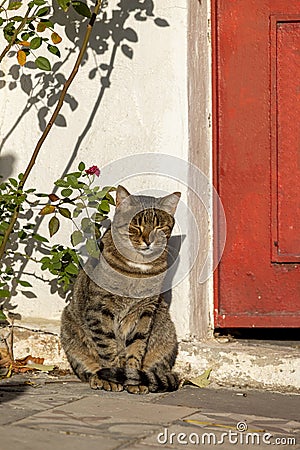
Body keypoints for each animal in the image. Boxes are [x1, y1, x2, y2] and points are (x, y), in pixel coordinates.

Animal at [61, 185, 180, 392]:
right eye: (136, 226)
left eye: (159, 227)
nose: (148, 240)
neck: (138, 270)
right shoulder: (99, 309)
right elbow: (107, 347)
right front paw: (114, 377)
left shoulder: (146, 311)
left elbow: (137, 346)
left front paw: (132, 377)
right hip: (68, 327)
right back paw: (99, 378)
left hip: (167, 334)